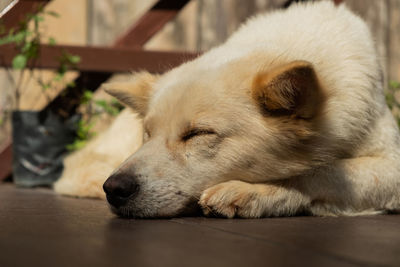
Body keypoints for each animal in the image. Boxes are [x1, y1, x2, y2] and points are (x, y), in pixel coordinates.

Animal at [54, 1, 400, 219]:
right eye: (147, 134)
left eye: (198, 134)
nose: (114, 189)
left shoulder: (390, 162)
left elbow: (322, 170)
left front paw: (255, 192)